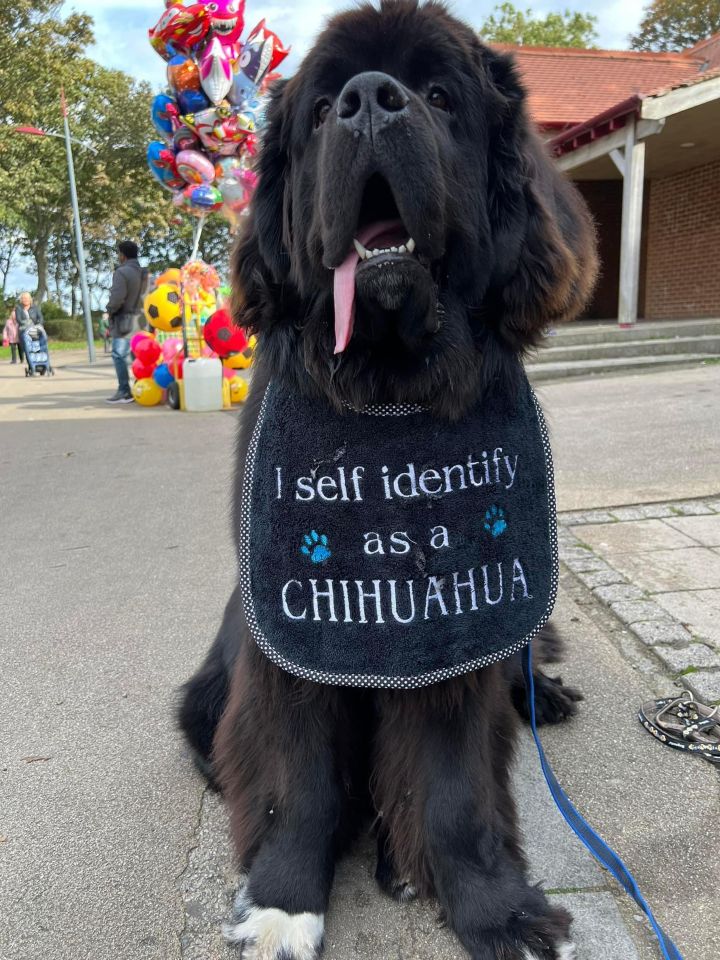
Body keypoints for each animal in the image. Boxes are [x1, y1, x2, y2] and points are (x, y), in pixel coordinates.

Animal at [180, 3, 596, 956]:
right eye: (321, 105)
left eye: (440, 96)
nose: (370, 101)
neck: (388, 397)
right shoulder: (288, 639)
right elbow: (294, 782)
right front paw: (281, 903)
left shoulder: (450, 628)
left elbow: (452, 790)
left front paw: (493, 907)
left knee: (518, 675)